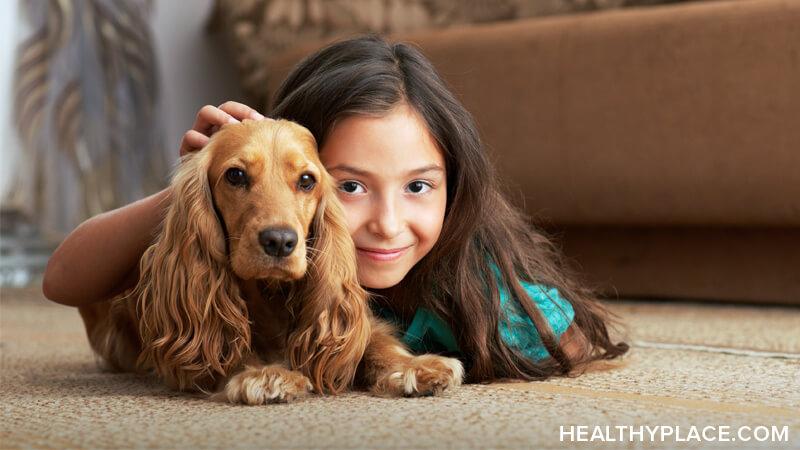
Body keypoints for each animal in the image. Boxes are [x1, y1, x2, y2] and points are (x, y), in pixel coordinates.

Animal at [76, 117, 462, 404]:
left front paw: (414, 367)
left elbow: (375, 341)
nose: (279, 241)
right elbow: (228, 345)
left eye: (307, 180)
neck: (272, 294)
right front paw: (265, 375)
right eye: (235, 175)